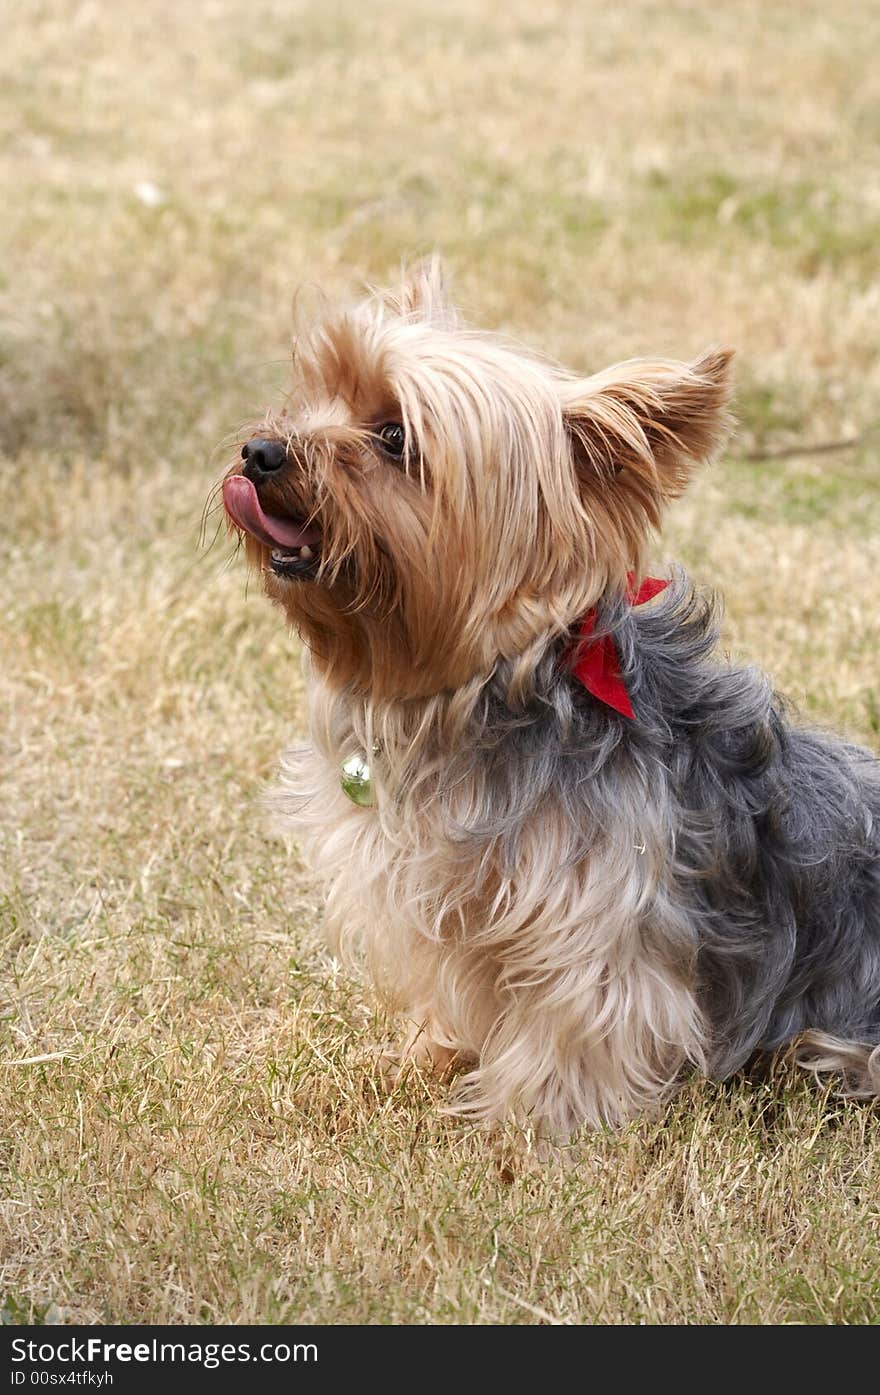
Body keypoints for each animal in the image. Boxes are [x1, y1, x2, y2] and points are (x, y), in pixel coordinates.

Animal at [220, 259, 880, 1132]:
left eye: (394, 436)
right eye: (315, 394)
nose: (260, 449)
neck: (485, 687)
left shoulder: (596, 915)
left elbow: (583, 1018)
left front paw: (527, 1125)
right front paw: (429, 1055)